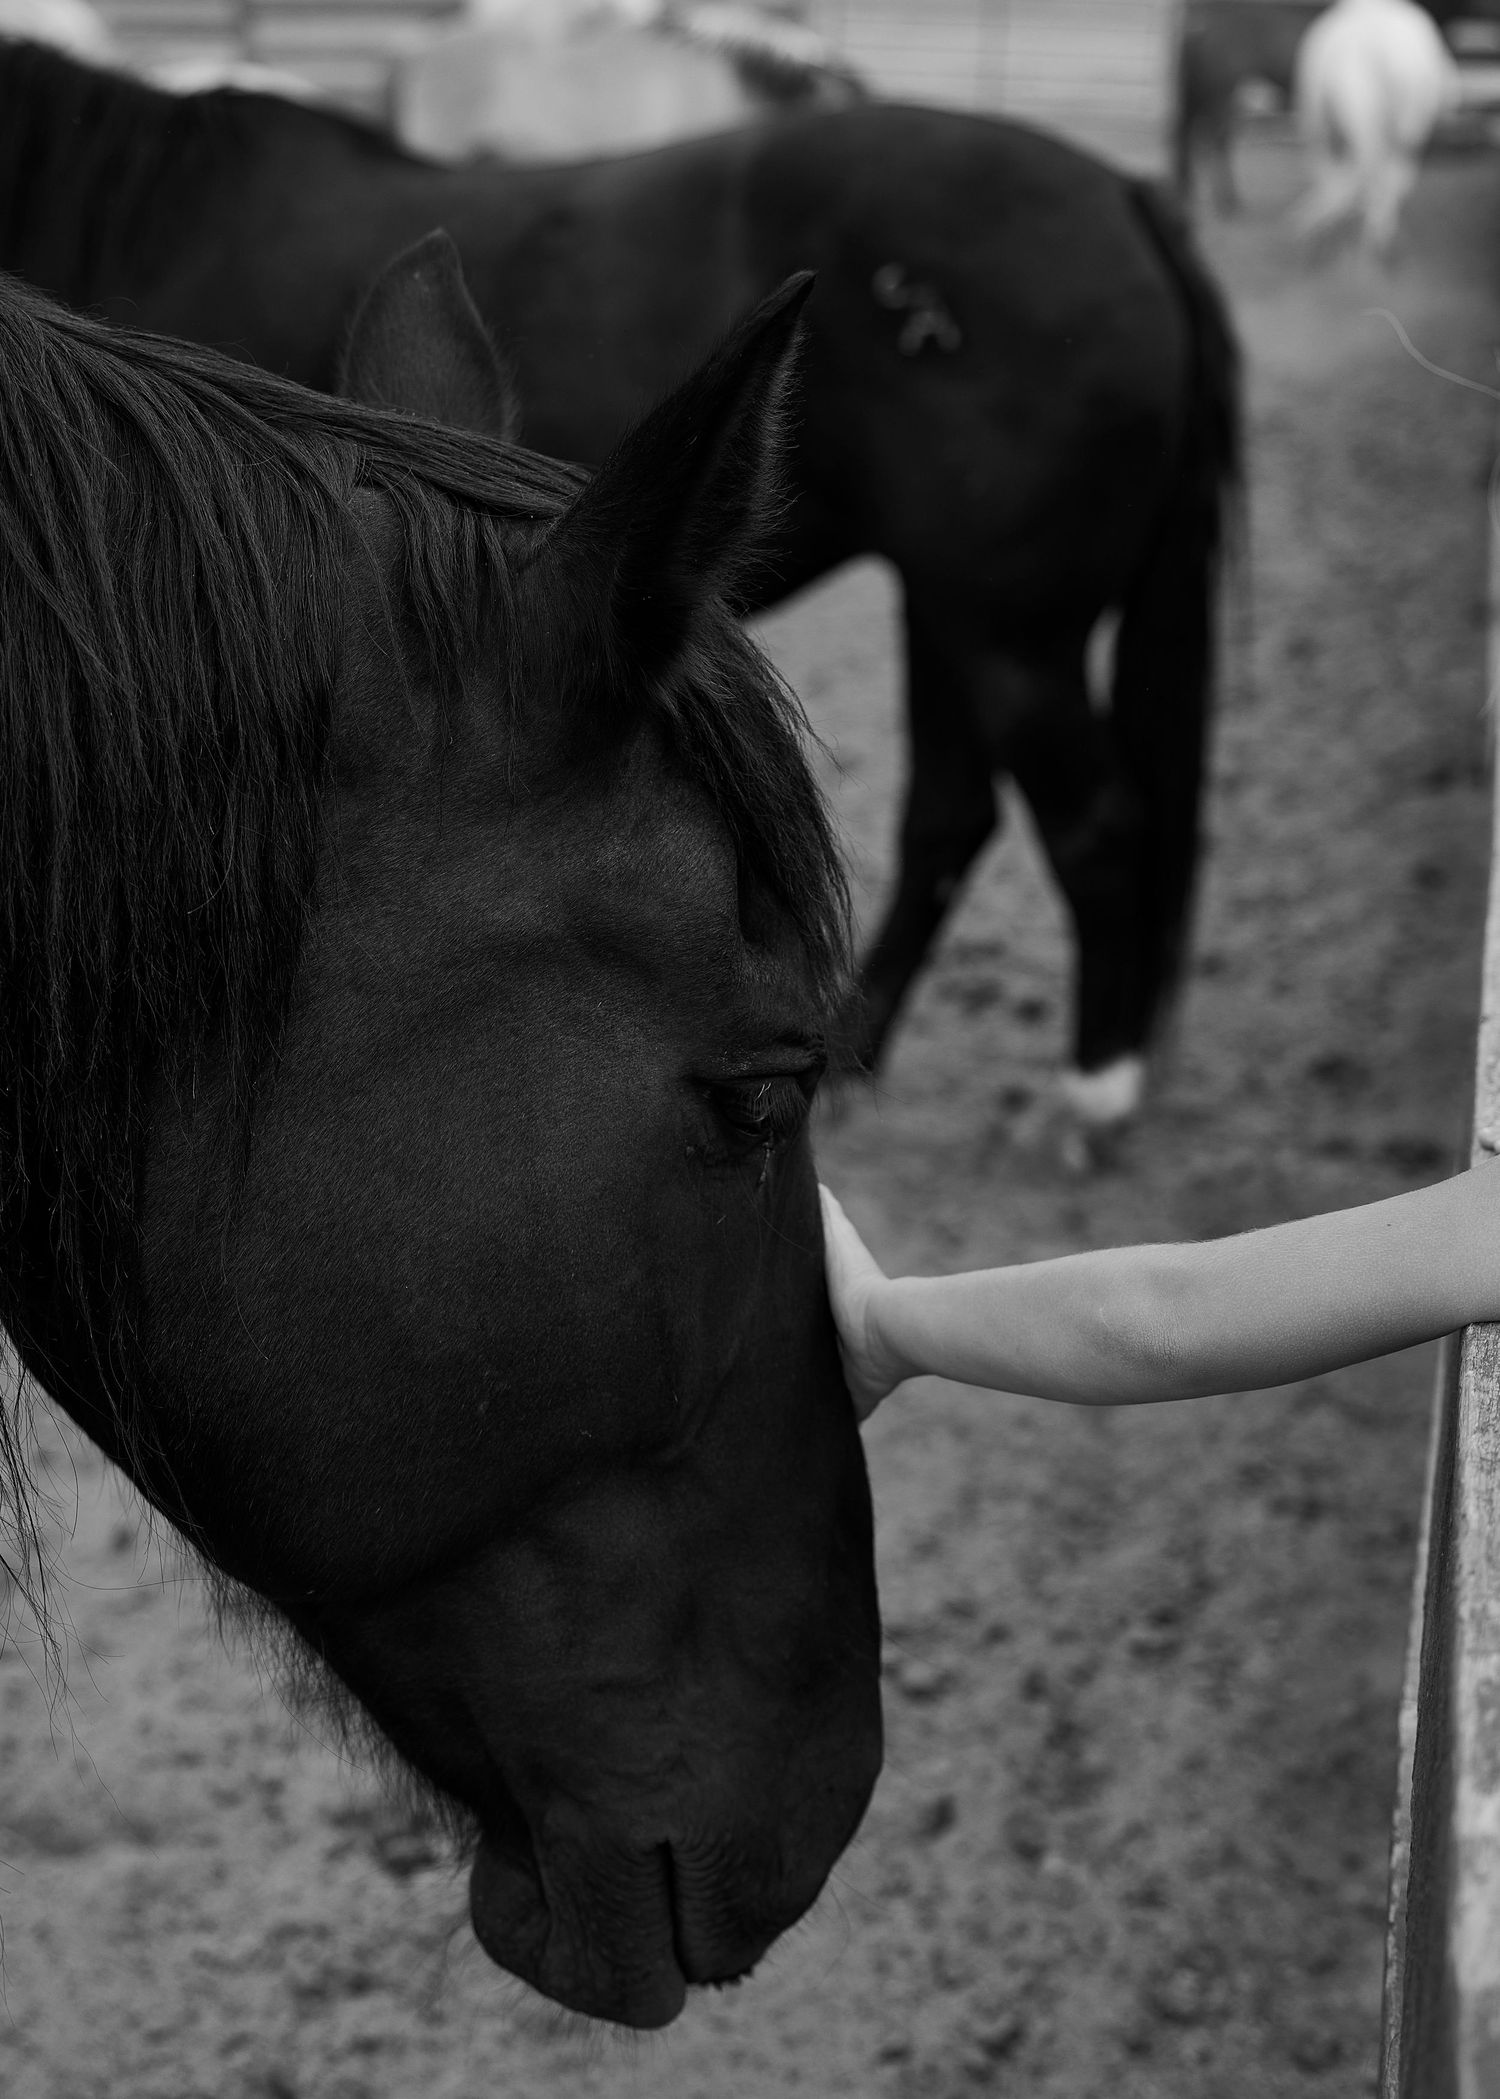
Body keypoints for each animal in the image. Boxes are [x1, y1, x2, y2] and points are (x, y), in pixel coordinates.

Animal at [0, 40, 1240, 1134]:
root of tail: (1126, 193)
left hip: (1010, 630)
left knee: (1096, 824)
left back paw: (1096, 1090)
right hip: (952, 611)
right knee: (953, 810)